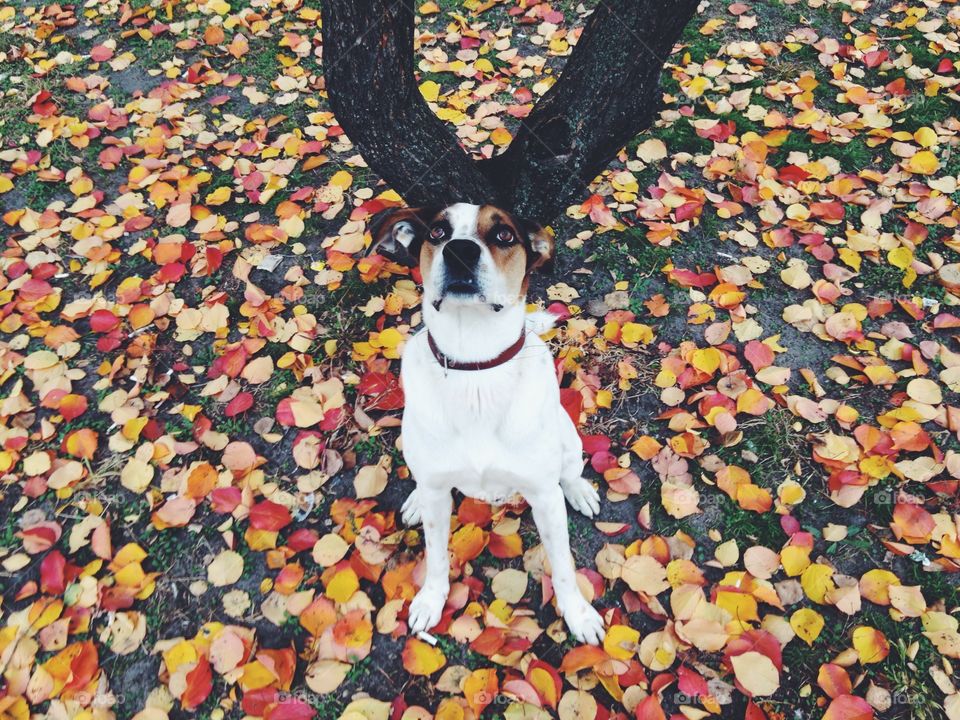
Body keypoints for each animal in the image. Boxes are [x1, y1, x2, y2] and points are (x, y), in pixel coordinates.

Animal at [370, 200, 604, 644]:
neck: (475, 367)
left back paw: (579, 489)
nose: (459, 251)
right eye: (437, 232)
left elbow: (564, 565)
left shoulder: (544, 497)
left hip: (567, 437)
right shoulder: (437, 495)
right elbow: (436, 556)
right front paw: (430, 601)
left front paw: (579, 615)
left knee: (570, 469)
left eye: (504, 235)